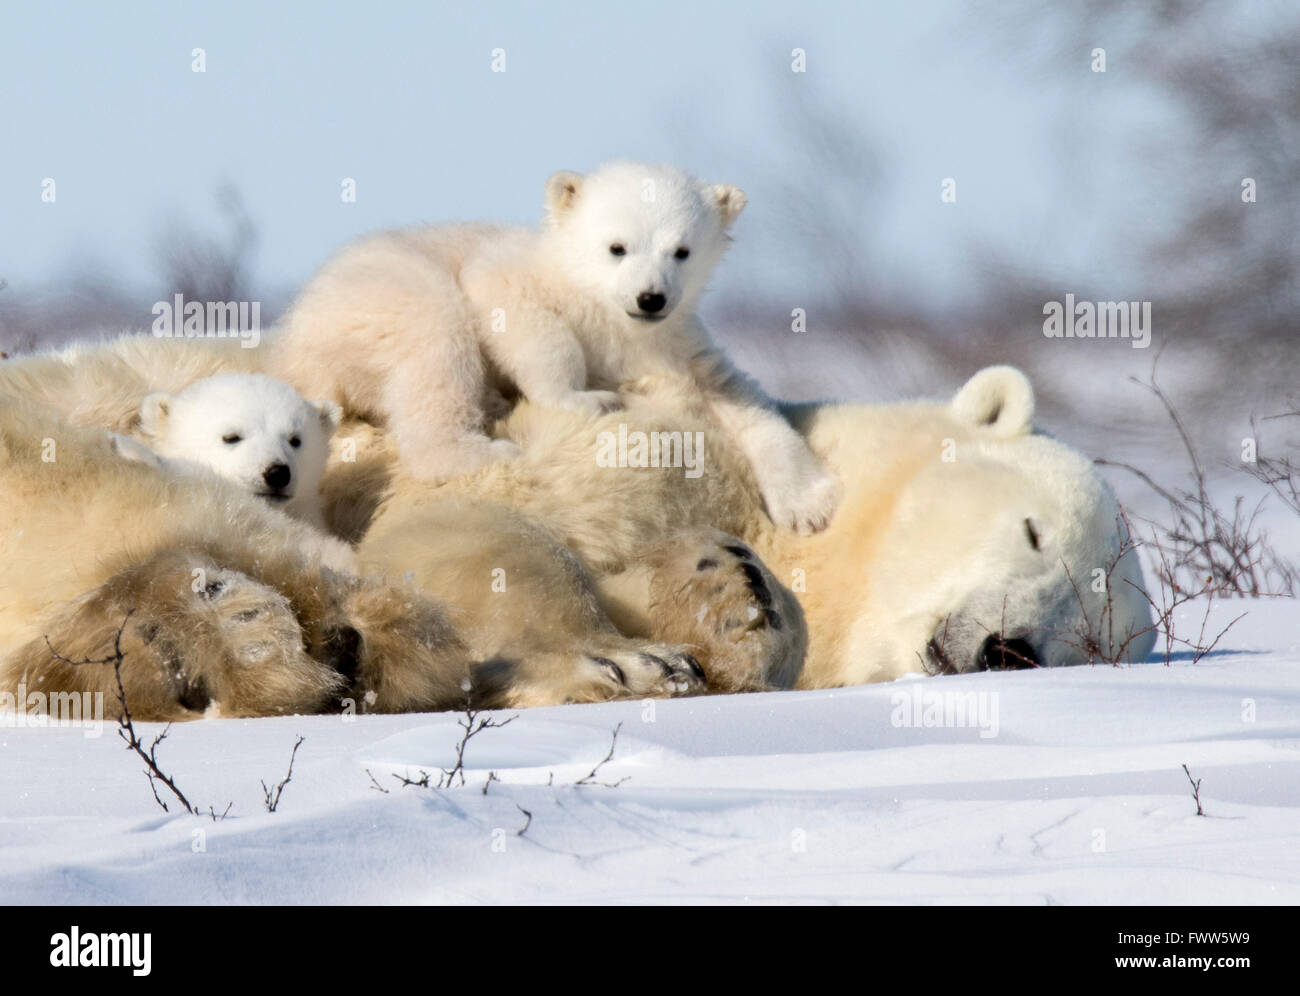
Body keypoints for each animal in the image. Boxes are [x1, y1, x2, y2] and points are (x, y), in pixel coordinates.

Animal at [0, 332, 1159, 717]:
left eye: (1090, 639)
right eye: (1035, 535)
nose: (1010, 645)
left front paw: (731, 603)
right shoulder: (623, 429)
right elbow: (473, 530)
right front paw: (622, 662)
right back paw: (249, 636)